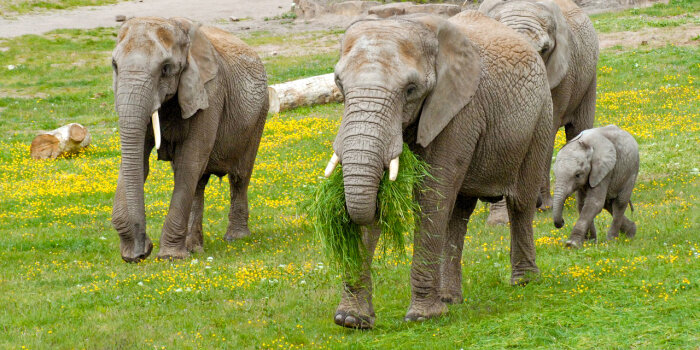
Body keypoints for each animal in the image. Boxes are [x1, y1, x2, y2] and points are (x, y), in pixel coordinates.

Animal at [112, 17, 268, 262]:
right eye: (115, 66)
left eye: (166, 69)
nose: (142, 250)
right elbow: (139, 162)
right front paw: (136, 254)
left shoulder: (210, 92)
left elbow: (190, 161)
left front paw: (170, 257)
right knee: (198, 182)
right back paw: (194, 247)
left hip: (259, 114)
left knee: (240, 176)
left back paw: (236, 238)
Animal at [482, 0, 600, 226]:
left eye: (544, 50)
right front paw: (498, 221)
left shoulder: (562, 74)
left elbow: (546, 131)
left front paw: (539, 206)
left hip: (588, 79)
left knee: (578, 129)